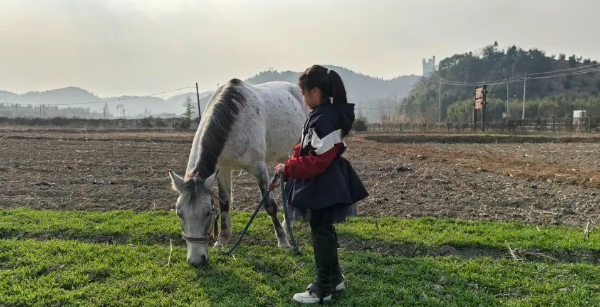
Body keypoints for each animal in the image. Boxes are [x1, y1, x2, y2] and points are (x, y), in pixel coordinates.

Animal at [169, 78, 310, 266]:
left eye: (207, 212)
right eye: (179, 213)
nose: (196, 260)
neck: (233, 118)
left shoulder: (259, 167)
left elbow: (269, 205)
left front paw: (283, 240)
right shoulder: (222, 169)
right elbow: (224, 203)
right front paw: (221, 240)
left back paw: (288, 225)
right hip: (283, 154)